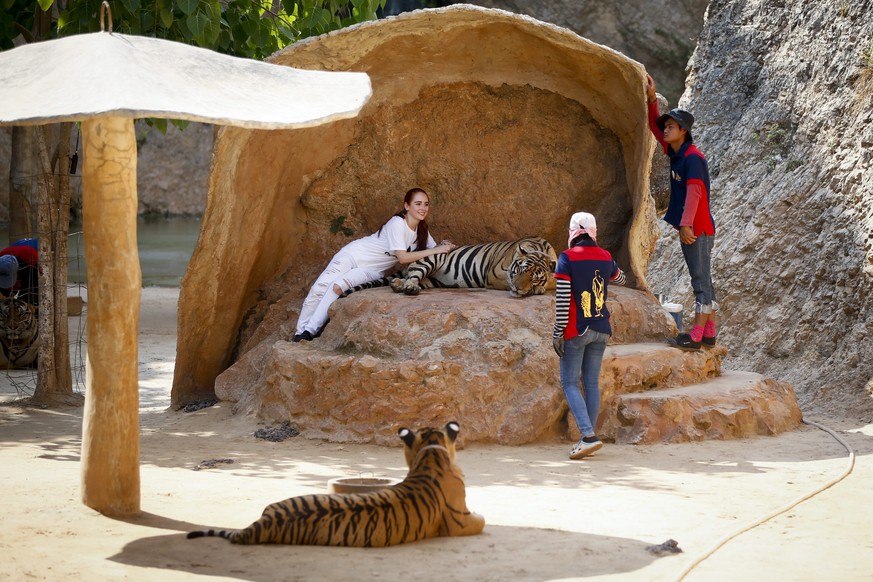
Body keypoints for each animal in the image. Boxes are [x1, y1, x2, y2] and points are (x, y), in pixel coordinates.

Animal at [342, 237, 556, 298]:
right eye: (520, 271)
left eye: (534, 277)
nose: (519, 289)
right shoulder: (495, 275)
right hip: (430, 259)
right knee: (413, 275)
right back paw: (408, 288)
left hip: (432, 280)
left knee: (413, 278)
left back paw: (397, 284)